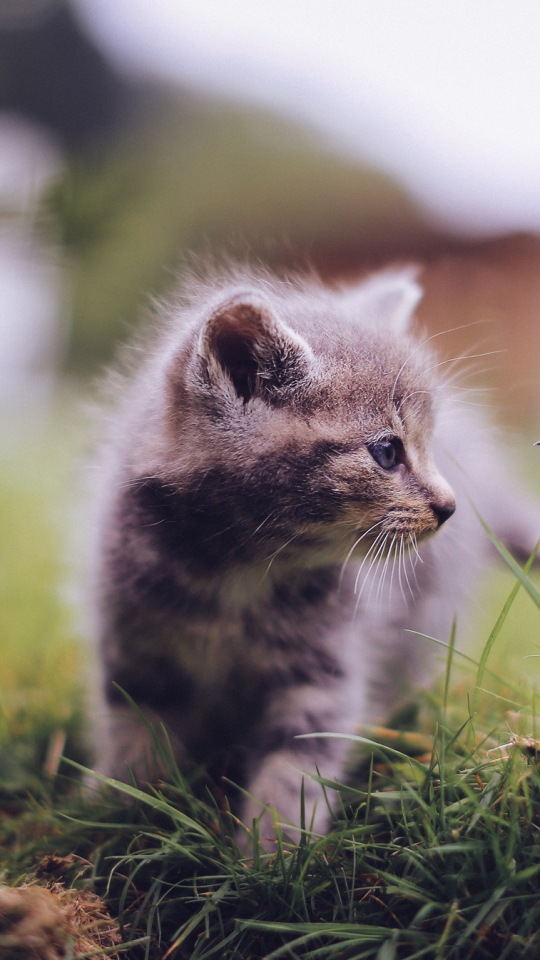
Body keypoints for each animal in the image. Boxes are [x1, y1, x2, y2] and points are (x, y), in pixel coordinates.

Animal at [93, 266, 540, 844]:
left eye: (429, 444)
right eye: (387, 452)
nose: (450, 506)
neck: (239, 573)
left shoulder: (325, 668)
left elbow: (297, 762)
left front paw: (272, 852)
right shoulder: (137, 642)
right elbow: (135, 732)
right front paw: (122, 816)